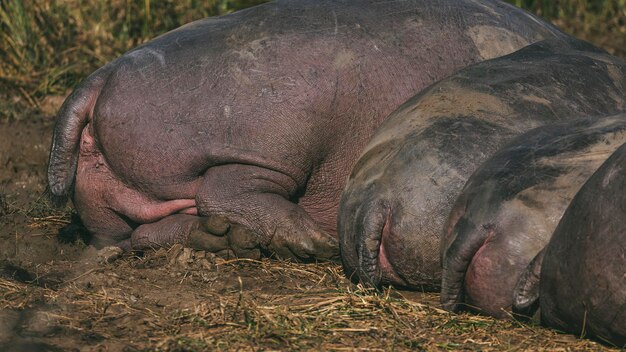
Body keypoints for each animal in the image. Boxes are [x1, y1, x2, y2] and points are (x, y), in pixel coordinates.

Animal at [46, 0, 564, 258]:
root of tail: (102, 73)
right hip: (277, 141)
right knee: (226, 192)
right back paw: (315, 243)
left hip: (113, 195)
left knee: (134, 234)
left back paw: (223, 239)